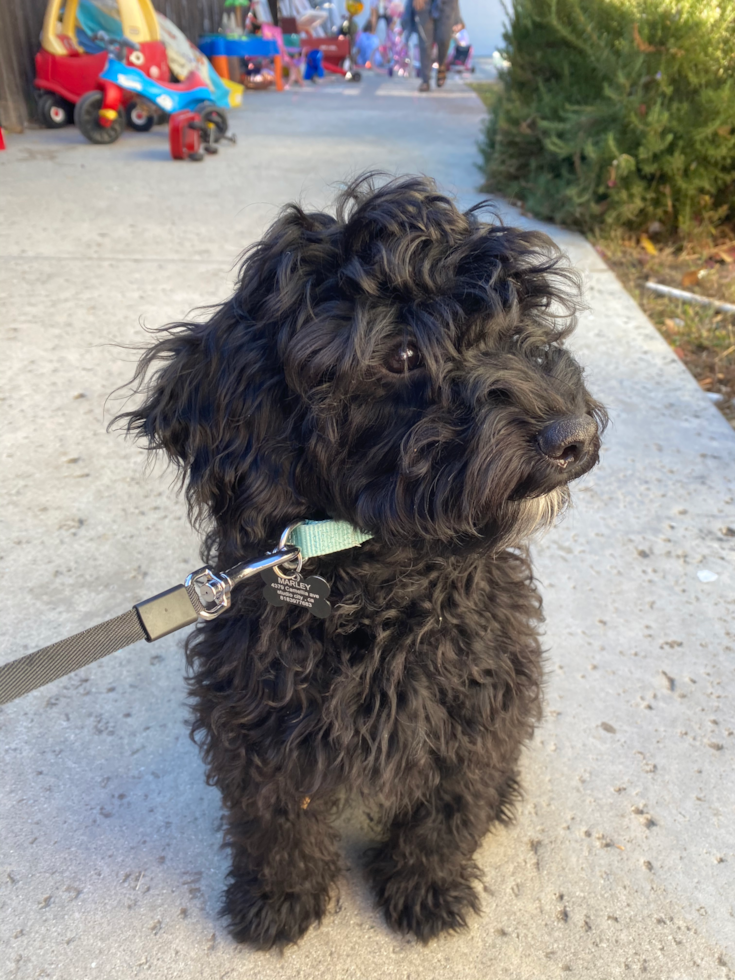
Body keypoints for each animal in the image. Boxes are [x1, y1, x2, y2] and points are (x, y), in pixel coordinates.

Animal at [123, 172, 608, 944]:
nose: (574, 435)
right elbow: (276, 820)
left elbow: (446, 812)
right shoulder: (258, 723)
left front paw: (426, 889)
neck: (379, 589)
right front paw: (279, 900)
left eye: (515, 321)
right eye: (402, 355)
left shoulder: (477, 713)